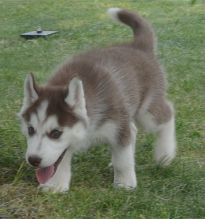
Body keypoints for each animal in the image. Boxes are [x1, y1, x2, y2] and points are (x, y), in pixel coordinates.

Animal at [18, 8, 176, 192]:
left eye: (56, 133)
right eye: (30, 129)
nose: (33, 160)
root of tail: (138, 46)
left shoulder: (118, 126)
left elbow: (123, 159)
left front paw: (124, 183)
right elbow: (59, 161)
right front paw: (55, 186)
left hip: (146, 111)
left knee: (167, 114)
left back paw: (165, 154)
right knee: (133, 129)